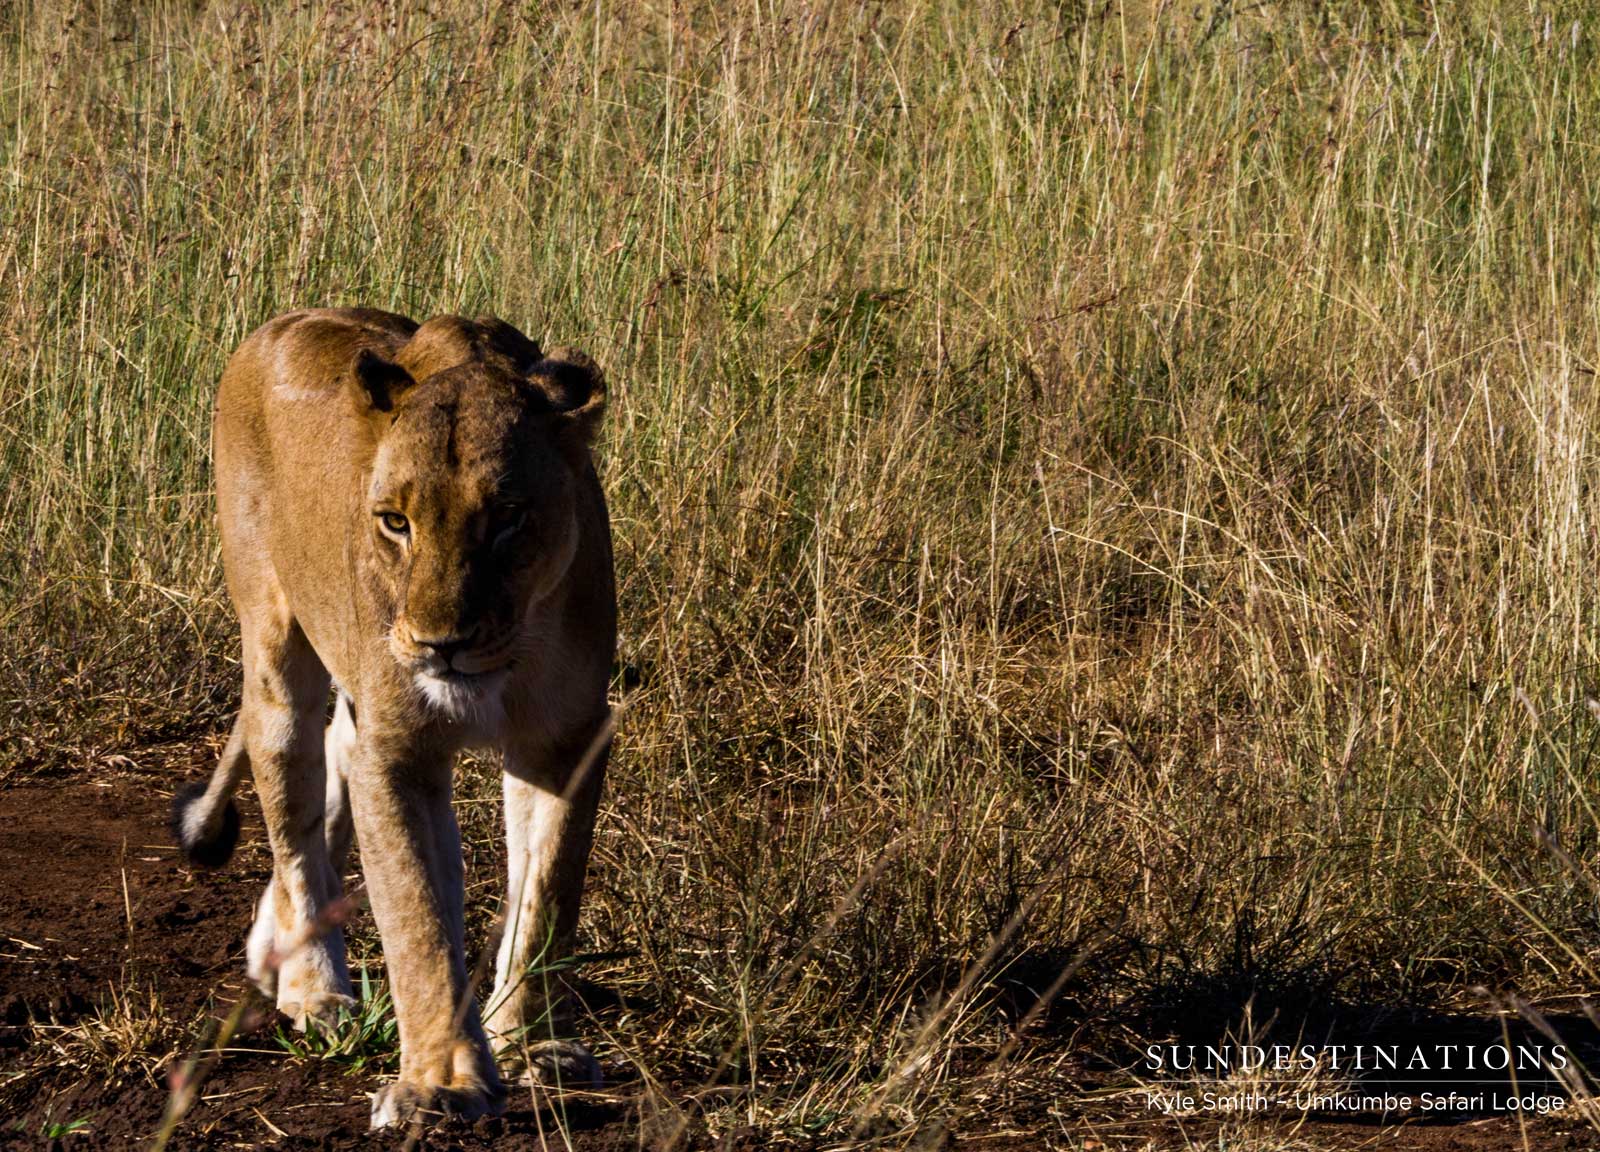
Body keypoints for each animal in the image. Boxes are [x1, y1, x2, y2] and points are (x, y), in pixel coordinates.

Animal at [170, 308, 616, 1127]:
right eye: (394, 522)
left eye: (508, 518)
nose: (441, 643)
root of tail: (276, 324)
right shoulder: (398, 749)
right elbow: (417, 916)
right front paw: (441, 1084)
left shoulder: (564, 738)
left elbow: (546, 898)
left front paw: (531, 1044)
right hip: (275, 660)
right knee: (294, 827)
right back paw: (313, 989)